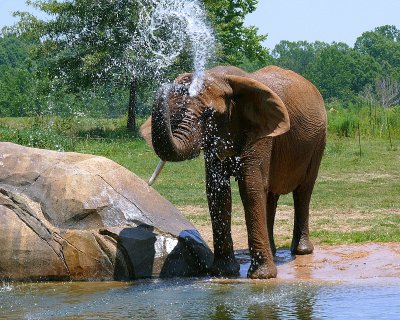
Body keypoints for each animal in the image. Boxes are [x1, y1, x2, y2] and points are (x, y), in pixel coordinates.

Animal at [139, 65, 326, 278]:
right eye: (174, 112)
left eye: (210, 114)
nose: (166, 86)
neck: (227, 79)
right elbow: (218, 191)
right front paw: (223, 273)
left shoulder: (259, 132)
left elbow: (250, 187)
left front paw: (262, 276)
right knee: (270, 194)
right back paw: (272, 250)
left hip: (318, 141)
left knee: (303, 190)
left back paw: (301, 251)